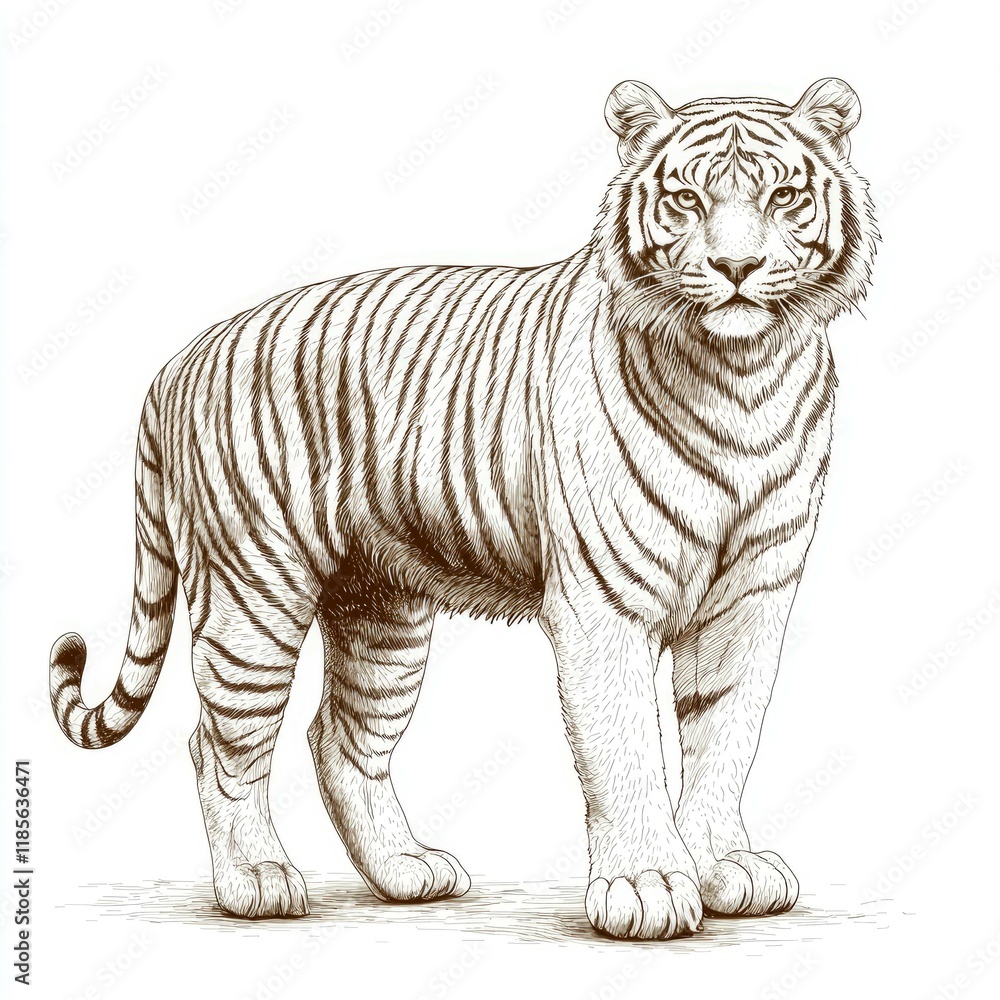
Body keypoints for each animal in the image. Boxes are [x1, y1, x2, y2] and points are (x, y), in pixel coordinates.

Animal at [49, 77, 877, 940]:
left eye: (784, 196)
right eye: (686, 199)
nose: (737, 266)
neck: (744, 375)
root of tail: (180, 360)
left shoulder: (751, 596)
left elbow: (725, 736)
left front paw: (725, 868)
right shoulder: (604, 603)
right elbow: (625, 749)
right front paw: (646, 885)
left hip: (380, 609)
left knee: (340, 738)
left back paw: (406, 870)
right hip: (254, 593)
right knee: (220, 745)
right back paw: (256, 882)